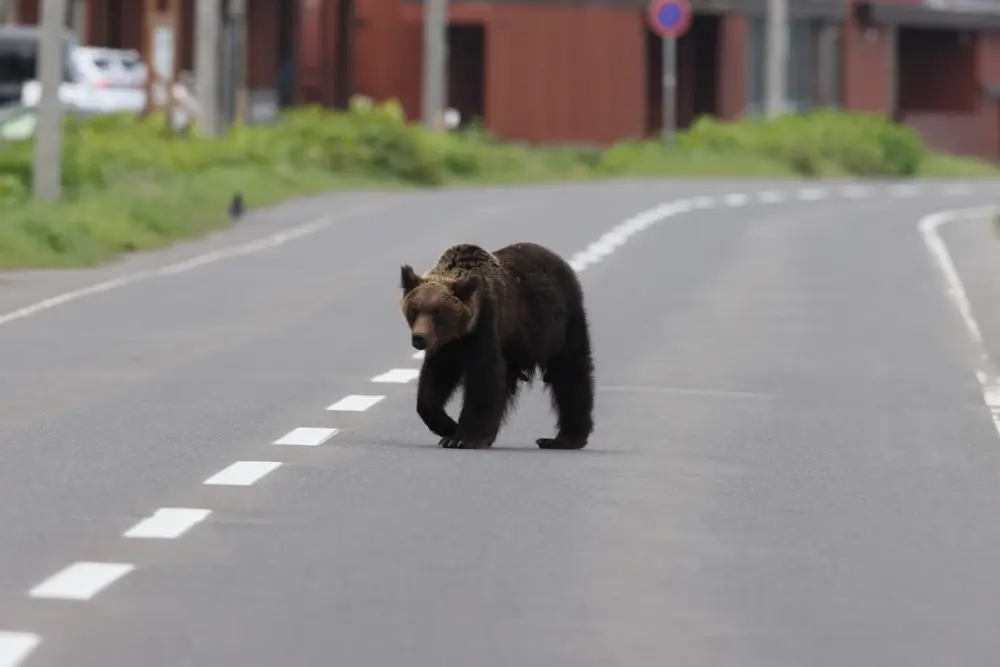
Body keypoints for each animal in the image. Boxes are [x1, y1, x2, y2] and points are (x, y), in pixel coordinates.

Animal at [398, 240, 592, 448]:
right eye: (414, 309)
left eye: (437, 312)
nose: (419, 337)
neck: (462, 330)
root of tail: (560, 261)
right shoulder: (448, 344)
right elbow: (435, 379)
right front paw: (448, 428)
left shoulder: (486, 325)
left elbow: (484, 377)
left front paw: (462, 437)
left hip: (561, 325)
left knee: (570, 373)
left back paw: (564, 438)